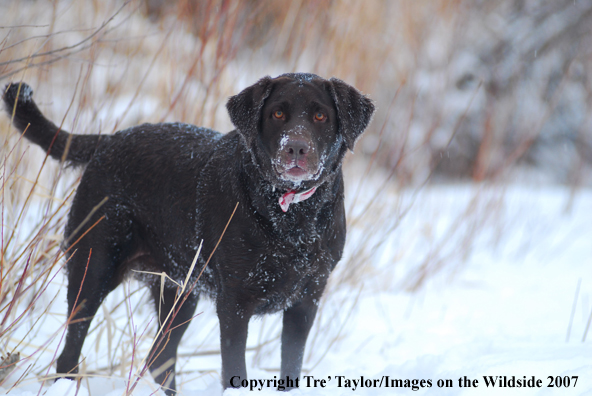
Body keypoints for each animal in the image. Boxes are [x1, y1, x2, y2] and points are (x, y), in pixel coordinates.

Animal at [3, 73, 374, 392]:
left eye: (320, 116)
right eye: (278, 113)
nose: (295, 148)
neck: (292, 220)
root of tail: (109, 141)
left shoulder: (306, 300)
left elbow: (291, 366)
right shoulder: (235, 304)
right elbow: (235, 368)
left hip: (180, 290)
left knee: (158, 359)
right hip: (93, 268)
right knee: (71, 351)